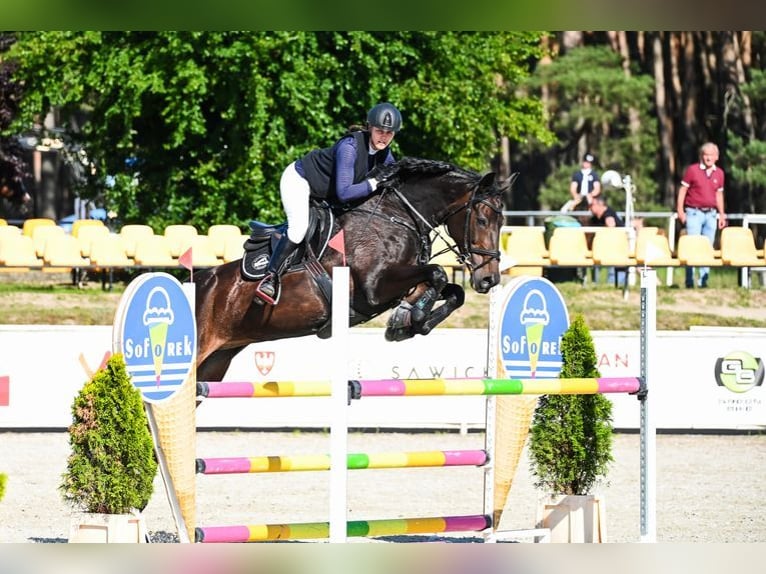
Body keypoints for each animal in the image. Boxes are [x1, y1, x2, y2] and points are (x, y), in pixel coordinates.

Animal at [195, 157, 511, 383]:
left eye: (502, 221)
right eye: (482, 220)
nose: (489, 279)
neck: (396, 215)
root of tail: (201, 279)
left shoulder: (399, 281)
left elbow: (453, 290)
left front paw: (409, 319)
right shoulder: (374, 289)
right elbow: (437, 273)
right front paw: (409, 317)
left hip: (216, 362)